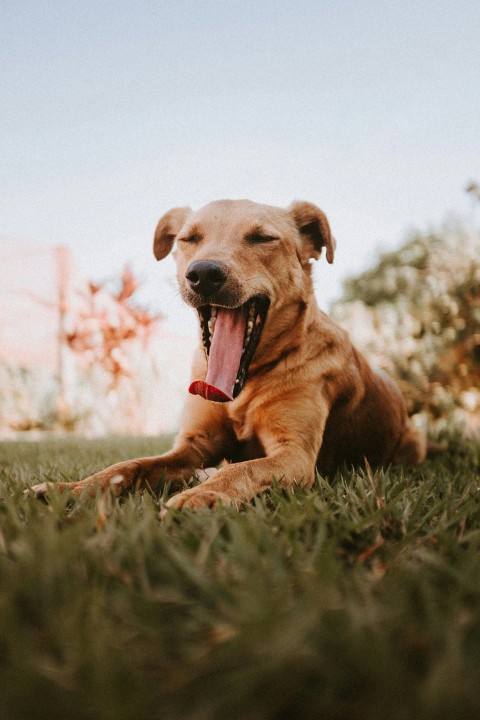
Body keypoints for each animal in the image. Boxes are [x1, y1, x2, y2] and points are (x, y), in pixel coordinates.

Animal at [31, 200, 428, 510]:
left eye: (262, 238)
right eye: (189, 239)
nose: (204, 274)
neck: (245, 383)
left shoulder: (295, 455)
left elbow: (244, 467)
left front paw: (203, 495)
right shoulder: (192, 446)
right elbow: (127, 466)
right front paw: (73, 488)